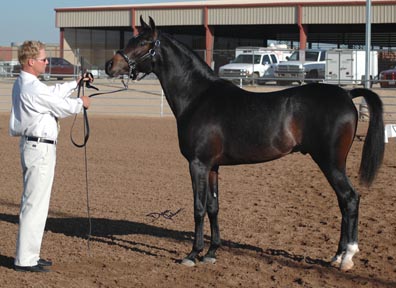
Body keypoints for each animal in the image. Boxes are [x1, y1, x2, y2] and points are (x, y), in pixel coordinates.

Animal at [104, 16, 384, 272]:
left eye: (143, 42)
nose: (110, 65)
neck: (197, 97)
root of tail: (347, 93)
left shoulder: (197, 164)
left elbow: (198, 208)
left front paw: (193, 254)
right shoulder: (213, 167)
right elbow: (213, 207)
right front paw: (211, 253)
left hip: (331, 162)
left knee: (350, 199)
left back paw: (347, 257)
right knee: (343, 202)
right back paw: (337, 256)